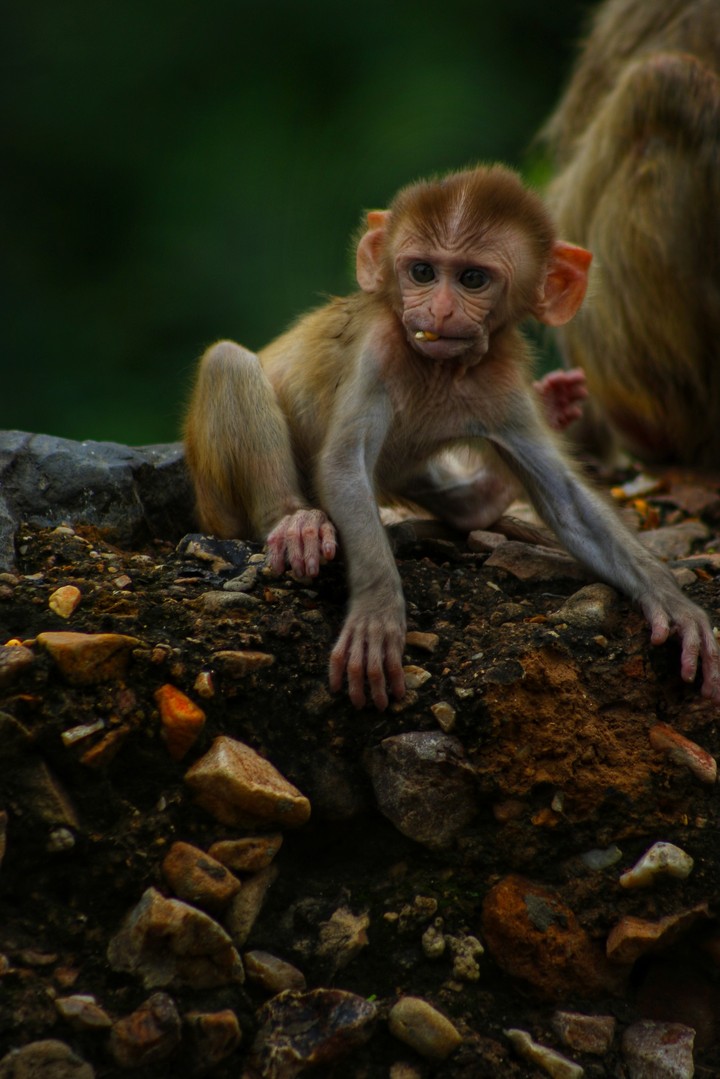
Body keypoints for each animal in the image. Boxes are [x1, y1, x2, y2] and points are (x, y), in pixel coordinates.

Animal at [184, 165, 720, 710]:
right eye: (422, 272)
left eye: (472, 279)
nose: (439, 312)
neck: (443, 369)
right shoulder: (380, 347)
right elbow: (344, 464)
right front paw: (378, 613)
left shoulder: (501, 379)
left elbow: (569, 504)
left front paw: (673, 603)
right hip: (217, 503)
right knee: (230, 362)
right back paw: (294, 521)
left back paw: (488, 490)